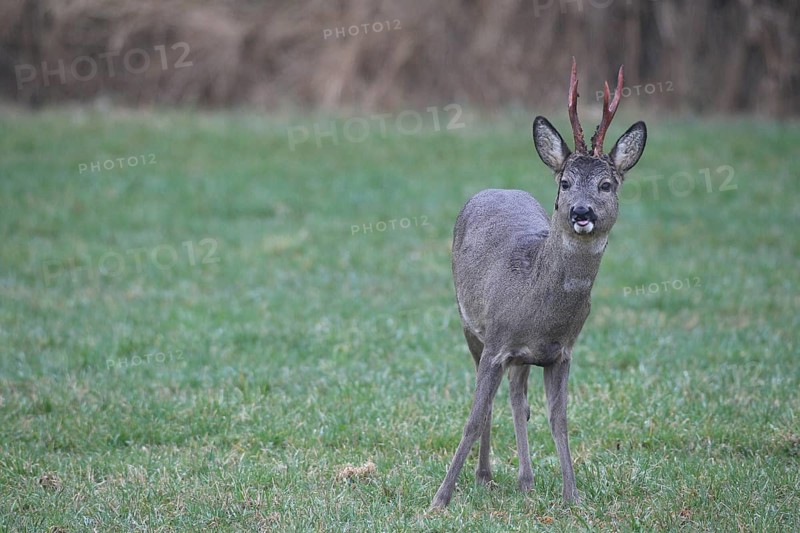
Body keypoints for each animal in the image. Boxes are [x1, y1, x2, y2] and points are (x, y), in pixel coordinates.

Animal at [431, 59, 647, 509]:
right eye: (565, 182)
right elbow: (474, 416)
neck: (538, 307)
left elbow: (558, 418)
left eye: (606, 184)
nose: (581, 212)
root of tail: (494, 188)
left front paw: (572, 496)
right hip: (467, 321)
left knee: (518, 399)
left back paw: (525, 479)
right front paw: (440, 498)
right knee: (492, 399)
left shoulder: (561, 351)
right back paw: (485, 475)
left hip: (519, 357)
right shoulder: (496, 339)